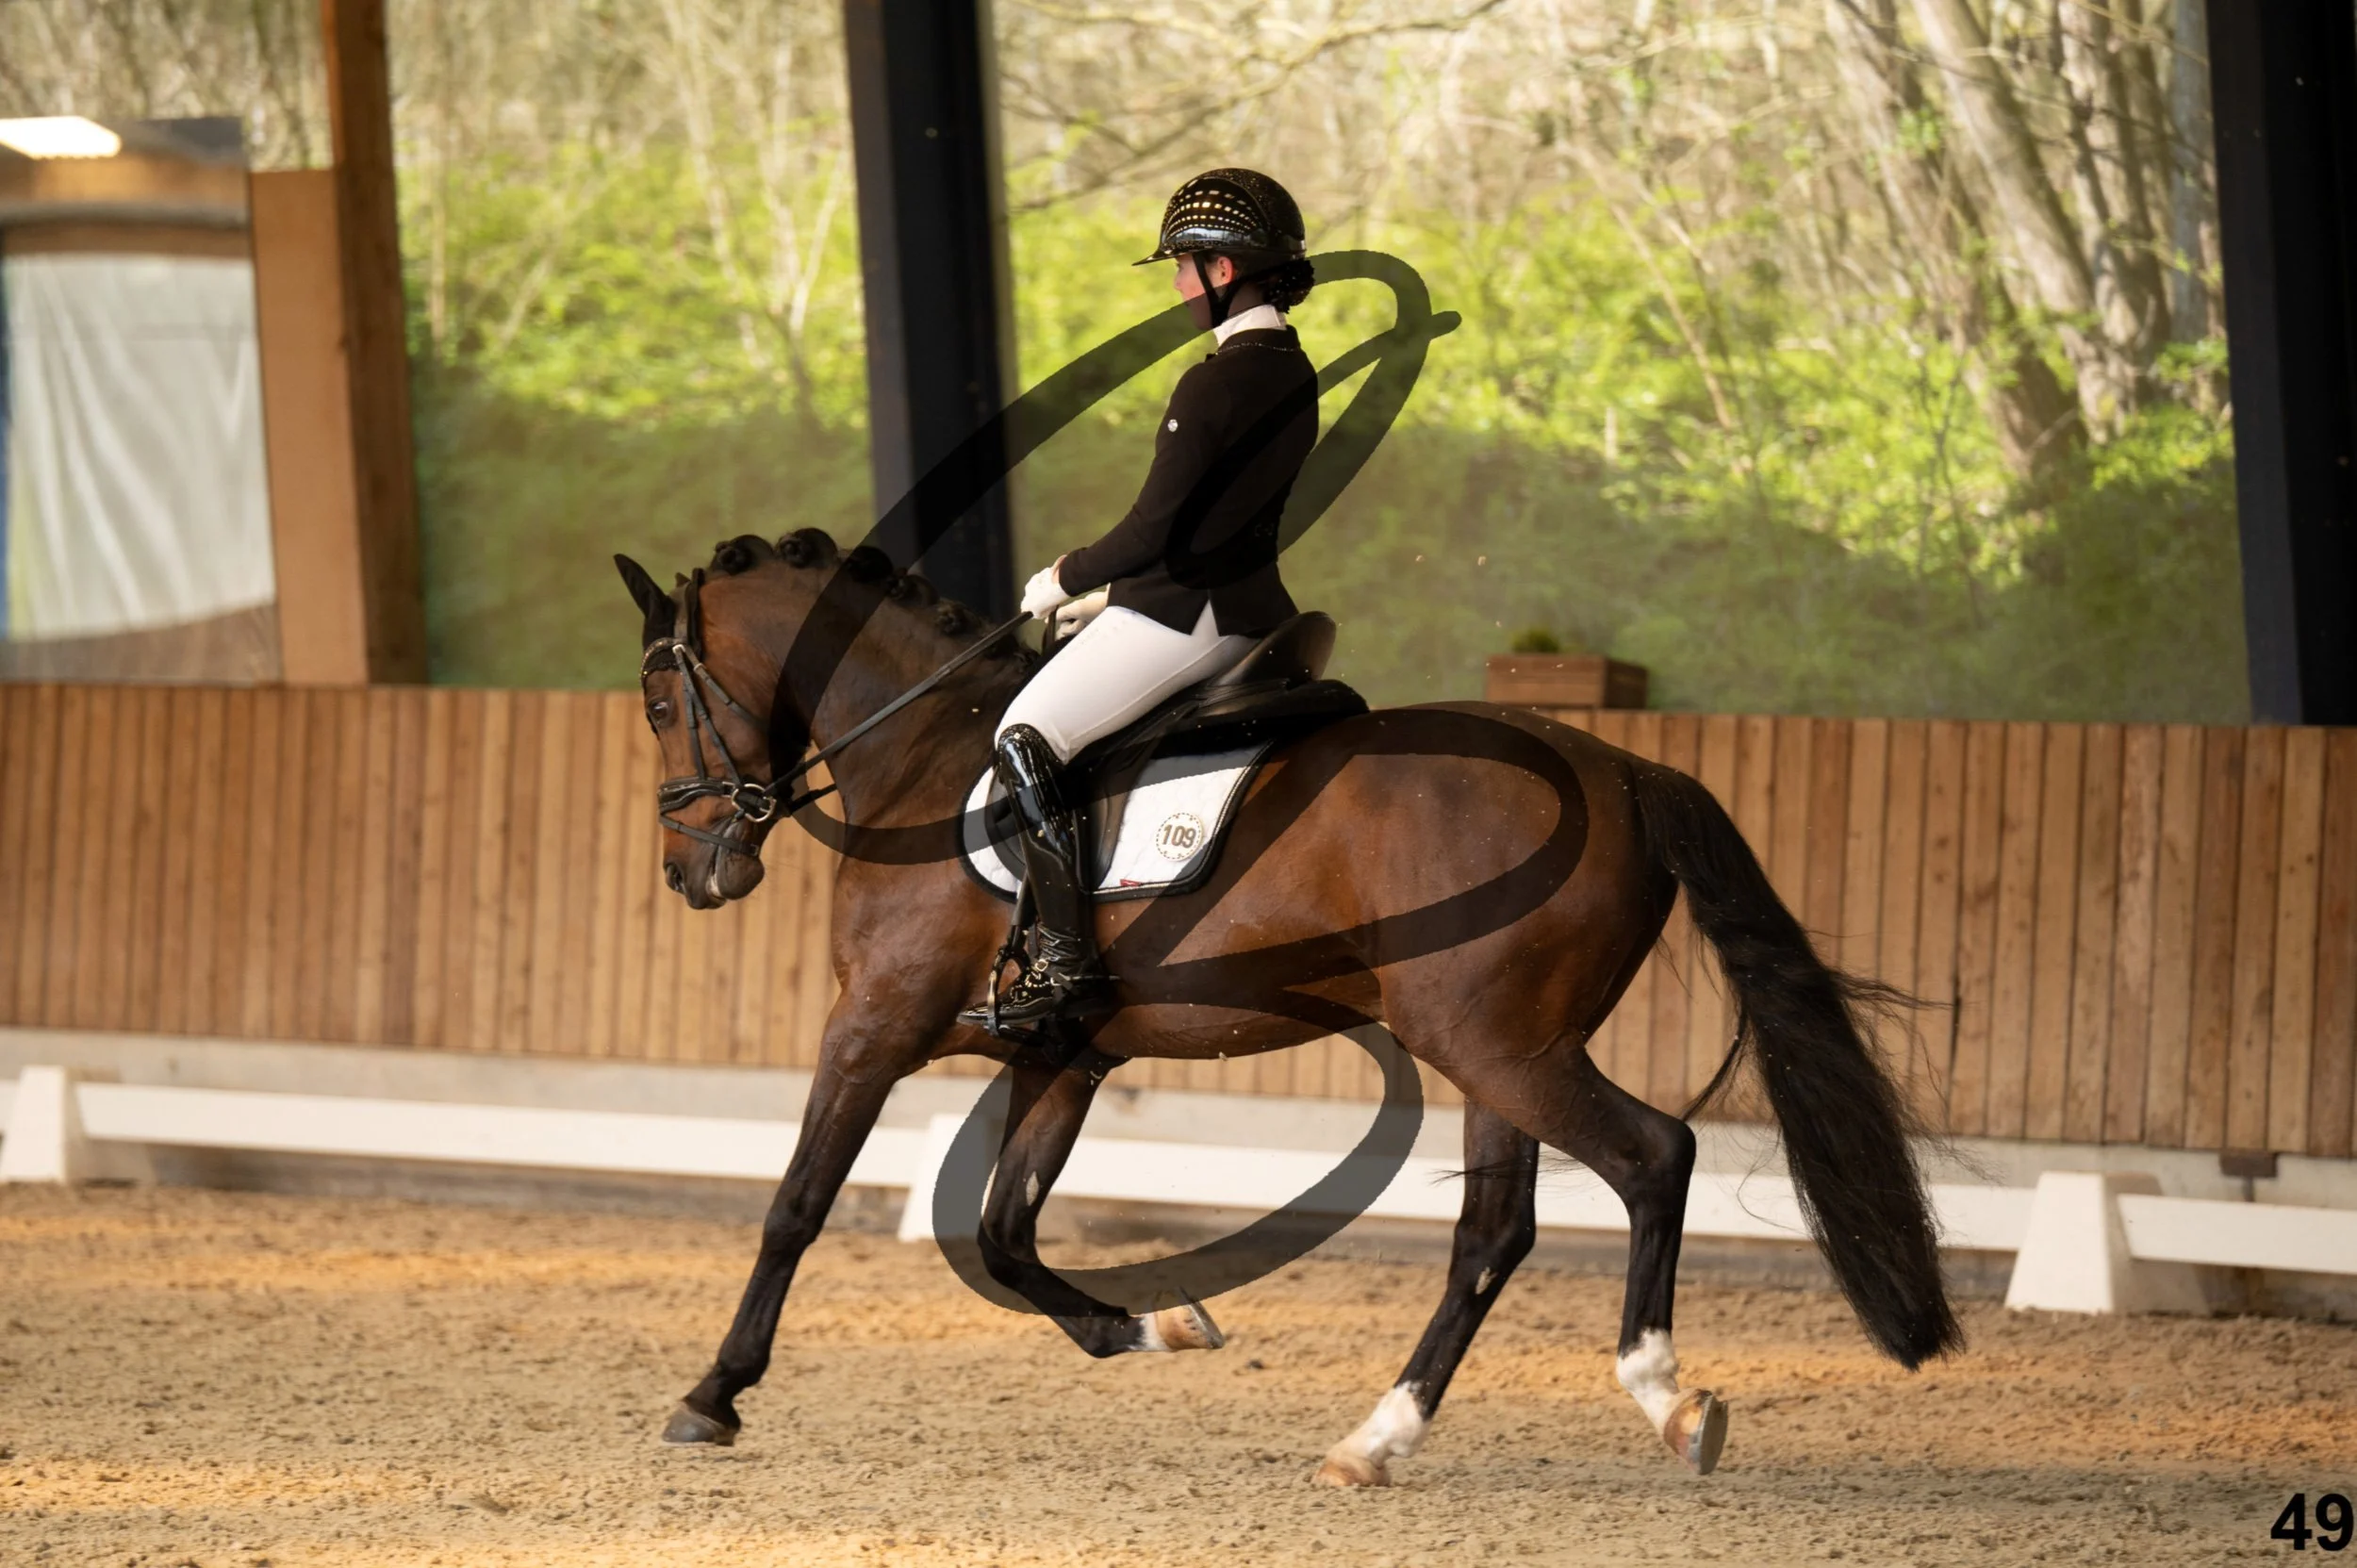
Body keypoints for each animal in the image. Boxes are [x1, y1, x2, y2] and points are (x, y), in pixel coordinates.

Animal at [617, 527, 1960, 1487]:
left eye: (658, 704)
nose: (693, 873)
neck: (928, 756)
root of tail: (1625, 768)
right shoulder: (1060, 1056)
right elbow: (1002, 1235)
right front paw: (1156, 1327)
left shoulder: (872, 1030)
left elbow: (795, 1208)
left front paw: (711, 1395)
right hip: (1497, 1049)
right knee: (1493, 1233)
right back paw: (1378, 1439)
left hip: (1498, 1044)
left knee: (1651, 1155)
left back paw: (1667, 1396)